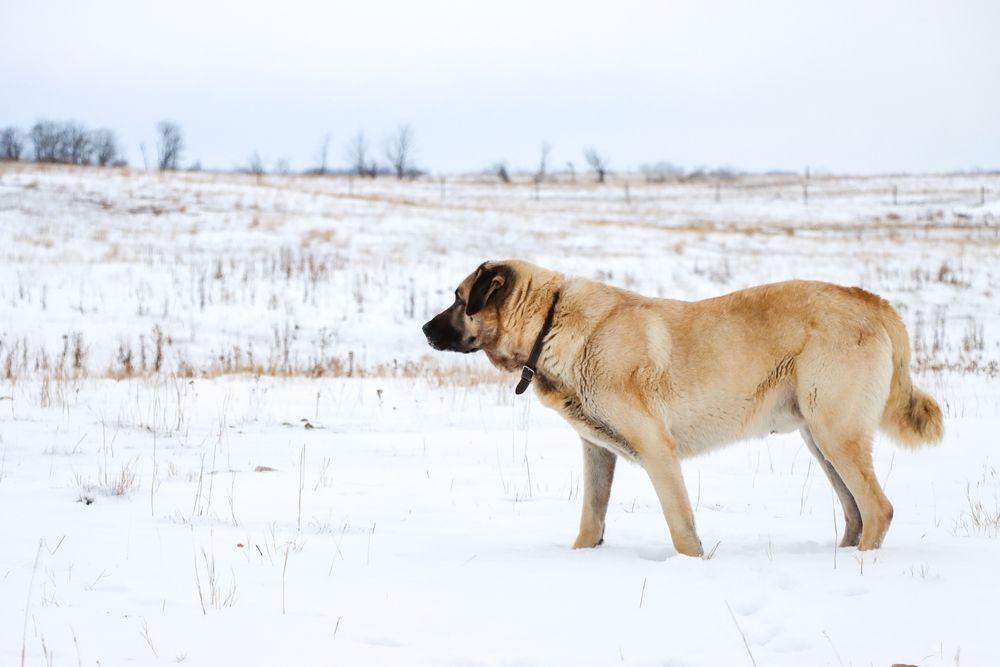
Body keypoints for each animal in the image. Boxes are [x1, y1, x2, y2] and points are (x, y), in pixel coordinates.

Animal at [424, 260, 944, 560]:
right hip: (819, 438)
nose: (425, 330)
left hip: (835, 432)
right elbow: (591, 519)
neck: (550, 321)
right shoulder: (598, 452)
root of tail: (870, 299)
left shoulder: (658, 449)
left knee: (877, 508)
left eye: (458, 298)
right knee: (855, 512)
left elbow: (680, 526)